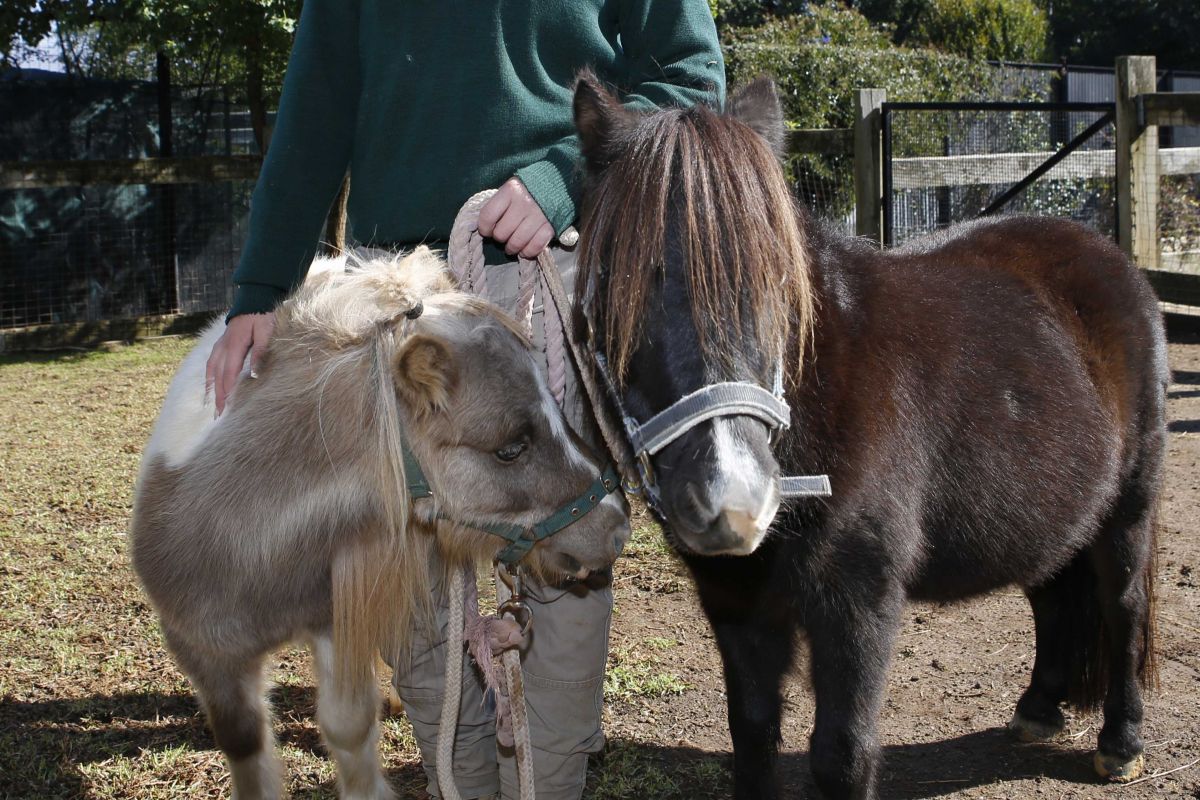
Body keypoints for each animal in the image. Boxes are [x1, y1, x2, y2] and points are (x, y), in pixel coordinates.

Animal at [576, 76, 1166, 800]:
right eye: (615, 287)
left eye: (776, 285)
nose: (732, 504)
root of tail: (1109, 258)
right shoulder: (734, 602)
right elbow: (752, 733)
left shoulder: (857, 602)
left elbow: (842, 753)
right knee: (1053, 590)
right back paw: (1037, 710)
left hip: (1130, 507)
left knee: (1124, 607)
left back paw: (1121, 743)